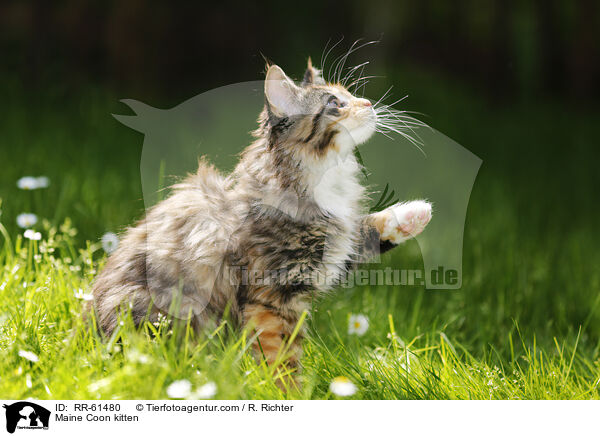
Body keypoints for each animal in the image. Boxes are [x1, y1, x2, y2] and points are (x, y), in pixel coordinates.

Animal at [90, 58, 432, 382]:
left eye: (349, 94)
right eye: (336, 102)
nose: (369, 103)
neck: (323, 180)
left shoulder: (332, 251)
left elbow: (362, 232)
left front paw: (414, 214)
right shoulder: (269, 297)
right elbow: (280, 358)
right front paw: (290, 393)